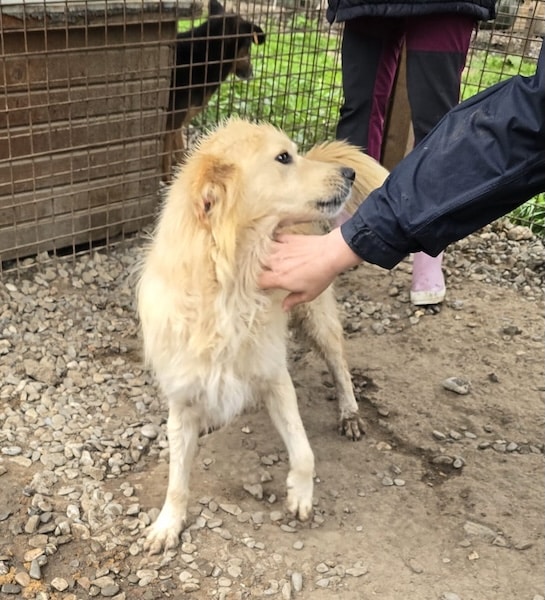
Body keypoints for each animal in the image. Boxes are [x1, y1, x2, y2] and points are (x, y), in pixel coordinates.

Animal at [138, 118, 389, 553]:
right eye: (283, 157)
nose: (349, 173)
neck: (229, 285)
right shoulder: (182, 396)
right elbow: (176, 480)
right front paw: (168, 524)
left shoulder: (275, 376)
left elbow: (303, 451)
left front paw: (301, 495)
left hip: (317, 314)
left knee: (339, 365)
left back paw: (350, 413)